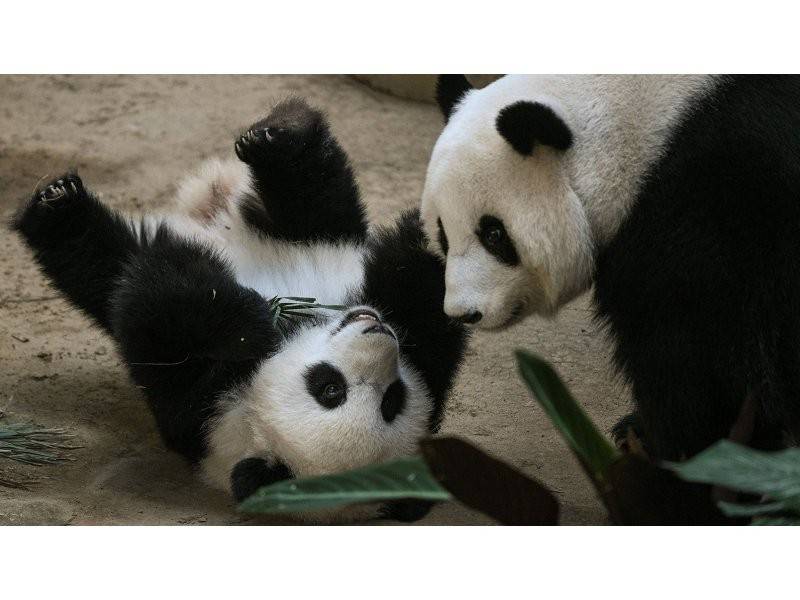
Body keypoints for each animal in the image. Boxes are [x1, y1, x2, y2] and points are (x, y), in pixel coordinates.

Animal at [12, 97, 468, 520]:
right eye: (330, 388)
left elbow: (153, 305)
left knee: (102, 261)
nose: (377, 330)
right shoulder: (199, 403)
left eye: (392, 399)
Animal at [422, 74, 800, 460]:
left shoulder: (716, 203)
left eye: (494, 234)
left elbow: (703, 350)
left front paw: (676, 447)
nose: (463, 313)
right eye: (443, 234)